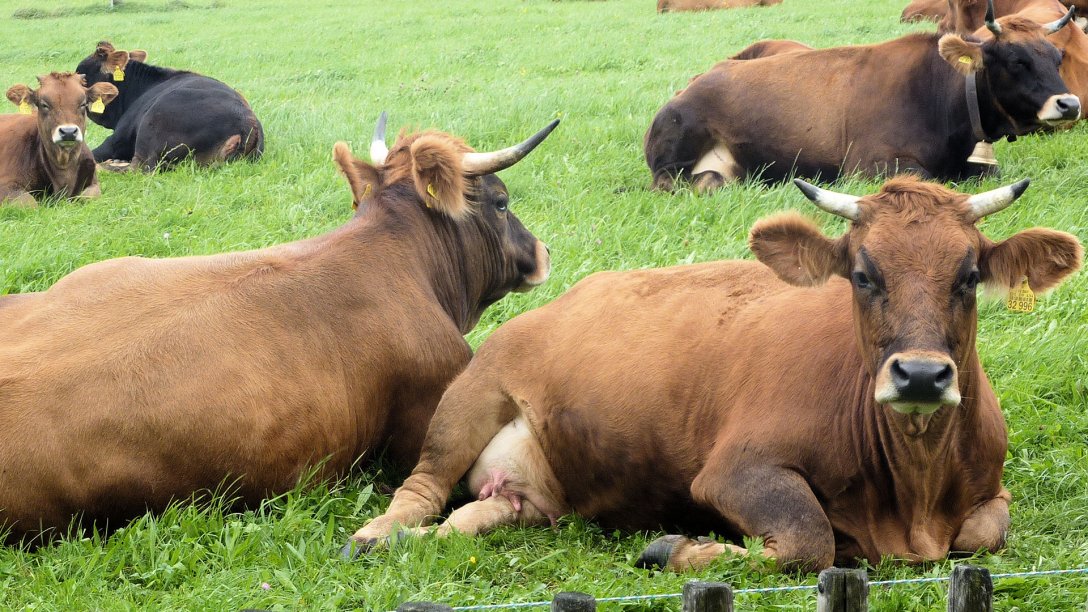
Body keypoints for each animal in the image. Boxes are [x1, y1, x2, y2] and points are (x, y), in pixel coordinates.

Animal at [0, 72, 116, 205]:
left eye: (83, 104)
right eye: (44, 105)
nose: (68, 132)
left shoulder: (93, 183)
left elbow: (87, 197)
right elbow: (30, 203)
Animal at [348, 174, 1079, 570]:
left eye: (969, 276)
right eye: (863, 275)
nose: (923, 376)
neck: (914, 494)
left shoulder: (989, 489)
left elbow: (985, 532)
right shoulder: (735, 471)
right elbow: (809, 540)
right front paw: (673, 548)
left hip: (531, 496)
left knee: (473, 517)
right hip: (469, 399)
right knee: (420, 487)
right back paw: (379, 536)